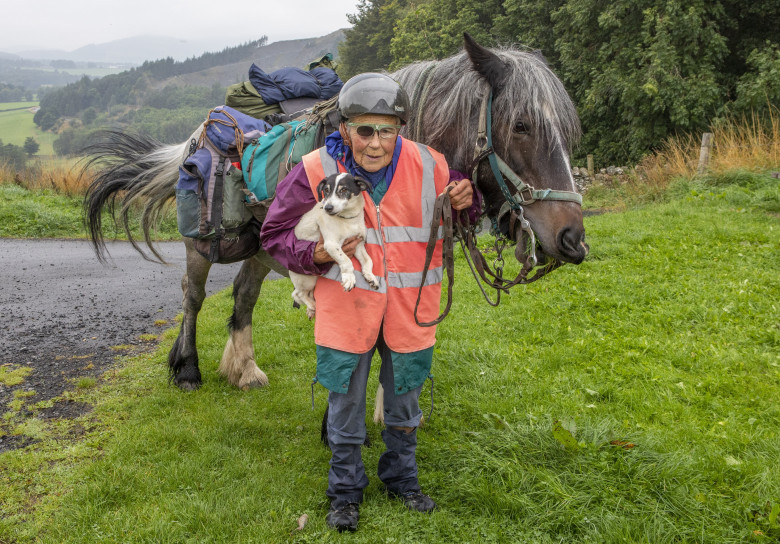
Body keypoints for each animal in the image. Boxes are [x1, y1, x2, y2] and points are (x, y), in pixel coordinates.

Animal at [290, 172, 380, 318]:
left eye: (343, 190)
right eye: (326, 190)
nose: (327, 208)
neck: (348, 220)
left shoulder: (358, 244)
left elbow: (368, 261)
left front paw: (370, 276)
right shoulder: (331, 244)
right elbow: (346, 261)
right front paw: (349, 278)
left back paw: (311, 308)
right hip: (307, 279)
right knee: (297, 294)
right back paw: (313, 306)